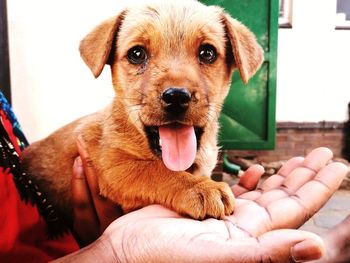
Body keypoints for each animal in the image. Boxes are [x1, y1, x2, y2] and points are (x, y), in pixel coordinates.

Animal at [21, 1, 262, 226]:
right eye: (136, 54)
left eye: (207, 52)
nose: (176, 96)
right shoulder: (114, 166)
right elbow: (156, 171)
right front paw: (200, 187)